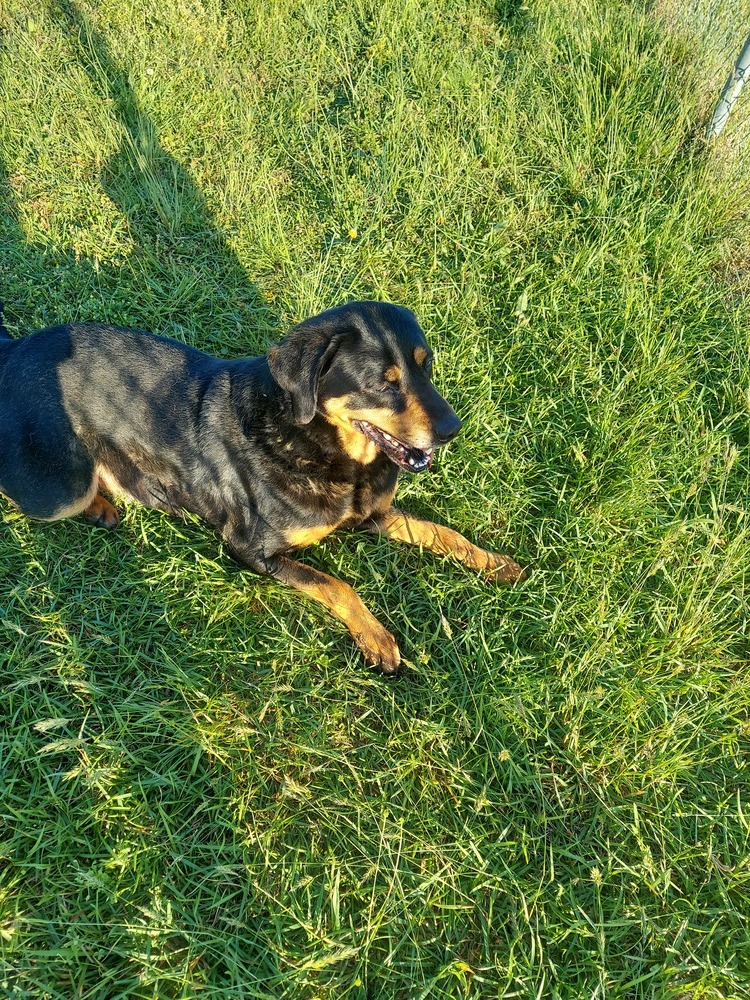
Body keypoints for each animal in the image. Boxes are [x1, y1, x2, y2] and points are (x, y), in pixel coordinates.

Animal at [0, 298, 524, 672]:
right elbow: (336, 584)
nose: (453, 429)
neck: (323, 444)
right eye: (383, 382)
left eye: (426, 365)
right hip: (59, 489)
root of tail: (15, 347)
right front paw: (375, 636)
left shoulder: (374, 515)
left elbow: (442, 533)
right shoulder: (251, 549)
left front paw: (496, 563)